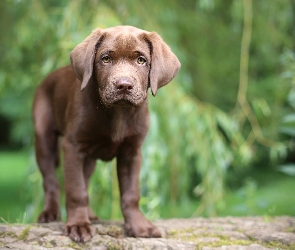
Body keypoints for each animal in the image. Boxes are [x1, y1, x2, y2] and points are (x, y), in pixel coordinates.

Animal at [32, 24, 180, 241]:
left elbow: (130, 194)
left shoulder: (131, 152)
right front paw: (78, 225)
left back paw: (90, 215)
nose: (124, 85)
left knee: (85, 178)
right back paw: (50, 213)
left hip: (89, 159)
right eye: (106, 58)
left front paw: (139, 226)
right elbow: (76, 190)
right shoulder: (73, 146)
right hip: (44, 138)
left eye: (141, 60)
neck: (118, 112)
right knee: (51, 180)